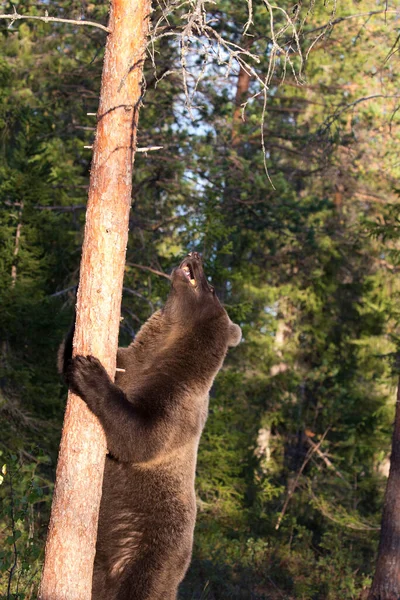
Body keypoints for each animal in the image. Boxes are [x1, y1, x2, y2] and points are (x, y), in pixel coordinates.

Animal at [62, 253, 241, 600]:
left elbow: (141, 438)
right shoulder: (129, 364)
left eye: (211, 288)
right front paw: (76, 318)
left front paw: (90, 373)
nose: (196, 255)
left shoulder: (177, 404)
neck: (163, 355)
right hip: (104, 564)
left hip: (156, 550)